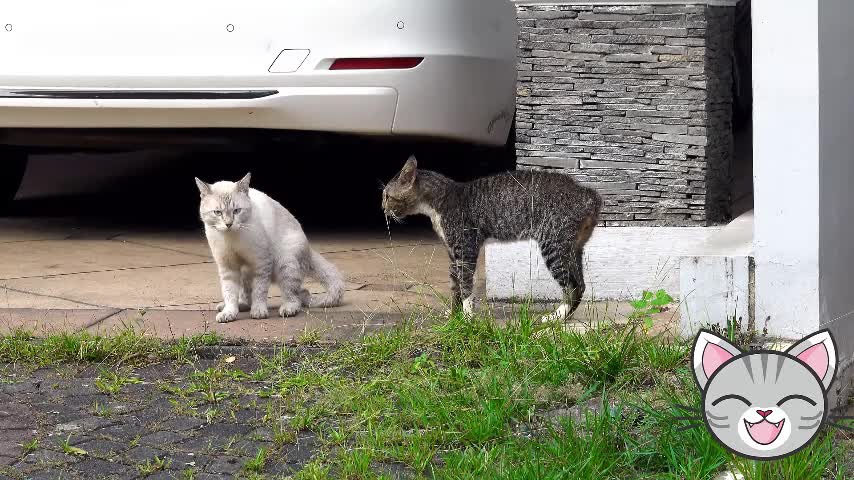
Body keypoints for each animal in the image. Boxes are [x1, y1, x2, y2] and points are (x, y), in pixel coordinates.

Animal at [196, 172, 342, 322]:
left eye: (236, 211)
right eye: (217, 212)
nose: (229, 224)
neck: (231, 238)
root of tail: (309, 250)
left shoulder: (262, 263)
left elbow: (259, 291)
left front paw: (259, 311)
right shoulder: (228, 267)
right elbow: (230, 293)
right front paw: (229, 312)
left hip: (285, 264)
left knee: (295, 296)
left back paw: (288, 309)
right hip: (246, 272)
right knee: (247, 297)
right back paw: (234, 306)